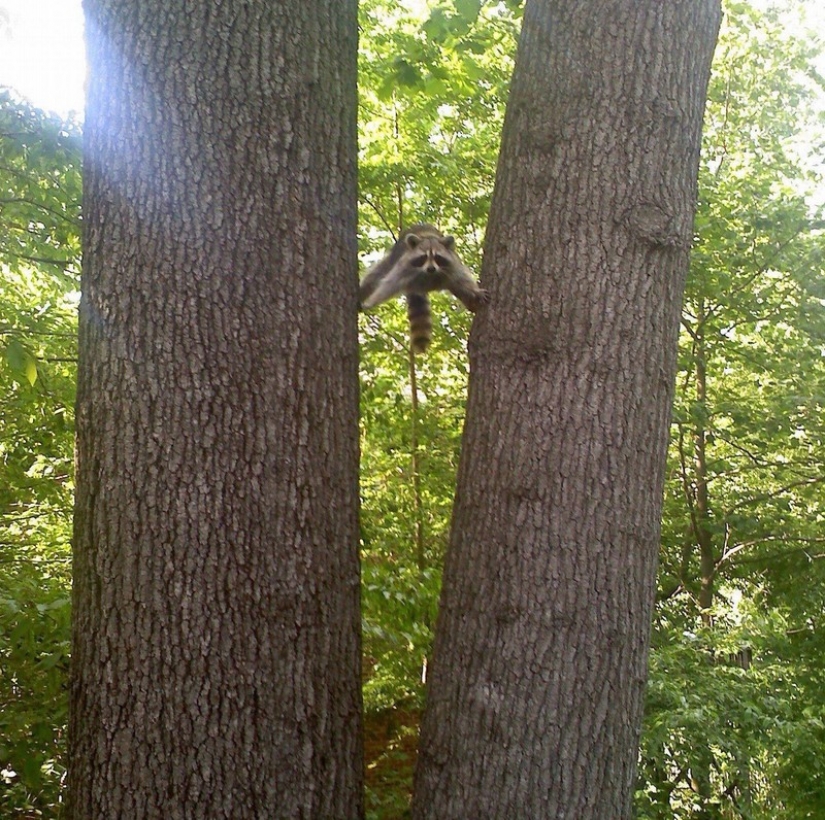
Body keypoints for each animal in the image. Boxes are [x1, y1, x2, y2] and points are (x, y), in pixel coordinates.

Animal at [359, 224, 488, 353]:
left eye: (437, 257)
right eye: (424, 257)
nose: (431, 268)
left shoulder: (452, 265)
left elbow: (463, 280)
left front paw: (475, 291)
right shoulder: (404, 266)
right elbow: (390, 284)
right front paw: (372, 301)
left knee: (457, 288)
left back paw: (470, 302)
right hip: (393, 257)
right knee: (376, 275)